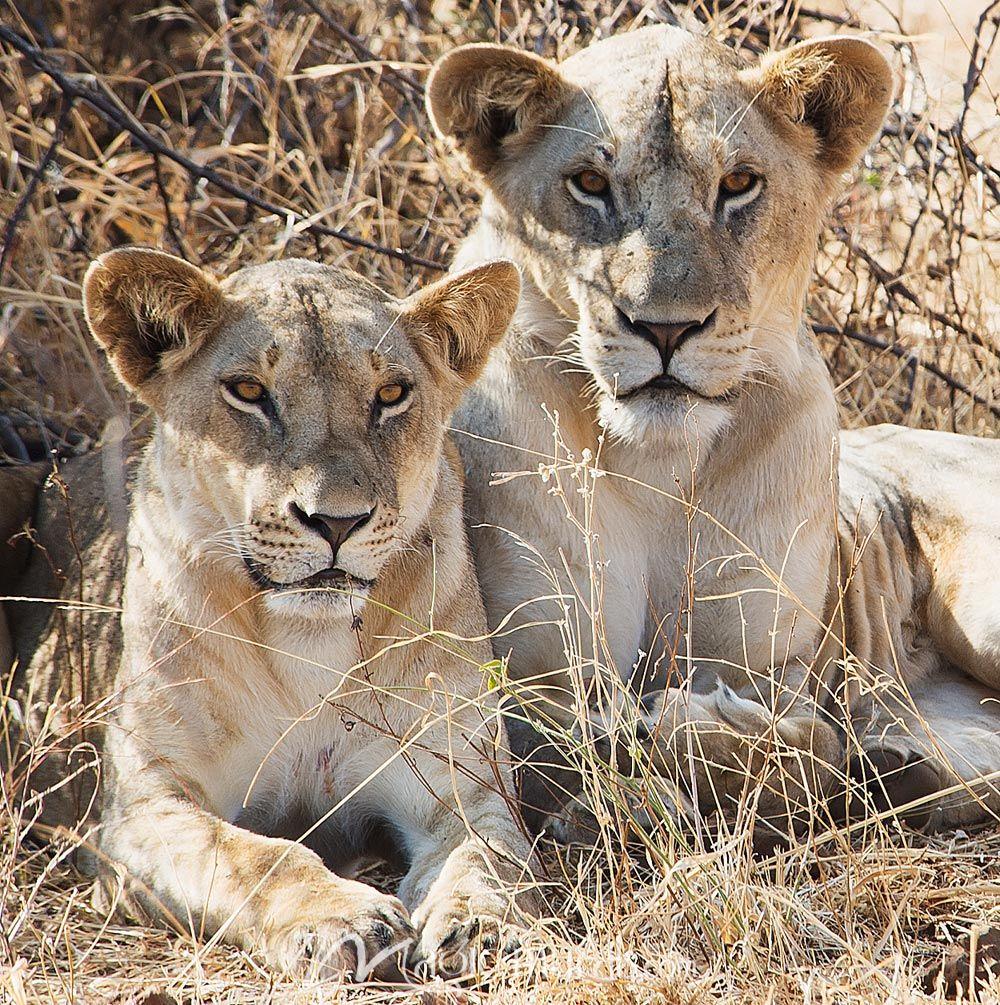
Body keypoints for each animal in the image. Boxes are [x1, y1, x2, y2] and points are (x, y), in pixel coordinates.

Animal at [1, 248, 537, 977]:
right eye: (250, 392)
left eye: (391, 394)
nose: (336, 521)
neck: (309, 640)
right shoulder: (143, 809)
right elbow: (259, 855)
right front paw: (343, 917)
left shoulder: (464, 787)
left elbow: (488, 858)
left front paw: (486, 928)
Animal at [425, 25, 1000, 836]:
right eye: (589, 184)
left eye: (739, 184)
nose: (666, 329)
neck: (660, 466)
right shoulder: (530, 662)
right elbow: (562, 744)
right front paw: (632, 774)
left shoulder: (768, 668)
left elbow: (805, 752)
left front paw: (682, 730)